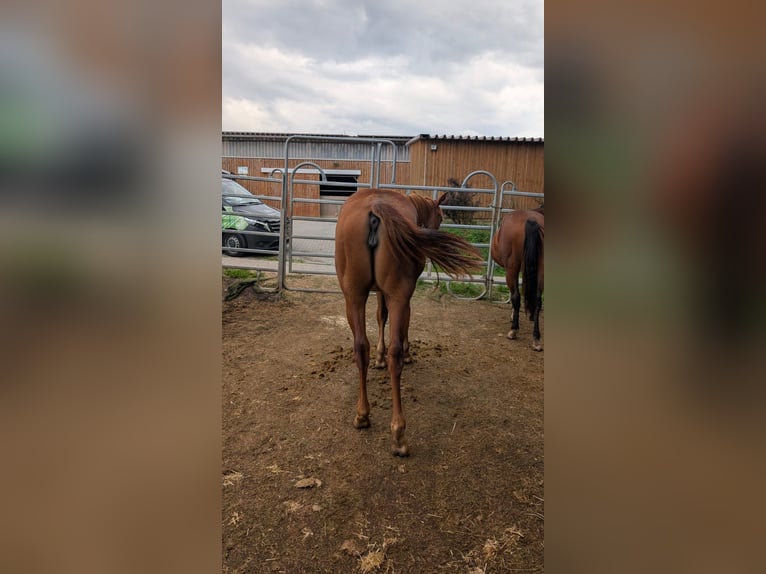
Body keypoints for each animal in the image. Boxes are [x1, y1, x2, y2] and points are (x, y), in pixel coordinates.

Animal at [334, 188, 482, 456]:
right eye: (440, 216)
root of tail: (376, 208)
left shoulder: (380, 292)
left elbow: (380, 316)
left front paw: (379, 358)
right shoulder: (402, 296)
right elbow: (401, 323)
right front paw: (405, 352)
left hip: (354, 296)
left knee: (360, 347)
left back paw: (362, 415)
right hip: (397, 295)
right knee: (396, 354)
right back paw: (398, 433)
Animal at [491, 209, 545, 351]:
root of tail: (531, 220)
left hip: (511, 268)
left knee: (516, 295)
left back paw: (513, 330)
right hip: (541, 268)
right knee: (538, 299)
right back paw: (536, 338)